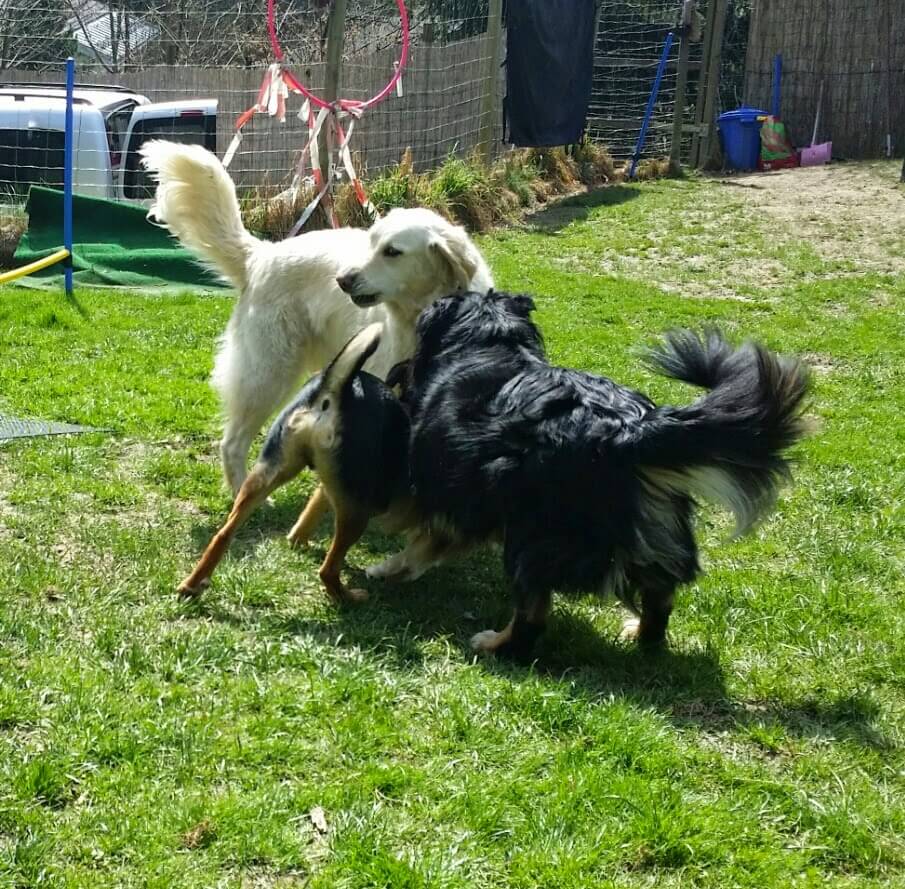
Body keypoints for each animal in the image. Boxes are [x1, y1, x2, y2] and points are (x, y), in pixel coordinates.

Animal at [139, 141, 492, 495]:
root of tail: (262, 255)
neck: (422, 314)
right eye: (370, 244)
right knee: (232, 443)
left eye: (392, 252)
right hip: (268, 375)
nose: (343, 280)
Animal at [177, 324, 413, 604]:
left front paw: (299, 539)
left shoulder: (331, 486)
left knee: (223, 534)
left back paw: (191, 585)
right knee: (328, 569)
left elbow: (312, 508)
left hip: (266, 475)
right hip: (357, 510)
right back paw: (348, 597)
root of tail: (335, 389)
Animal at [371, 290, 812, 661]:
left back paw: (496, 645)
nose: (401, 371)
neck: (491, 341)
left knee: (533, 613)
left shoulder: (449, 485)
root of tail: (625, 430)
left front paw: (389, 569)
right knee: (660, 599)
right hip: (657, 531)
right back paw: (641, 636)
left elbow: (426, 540)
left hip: (533, 534)